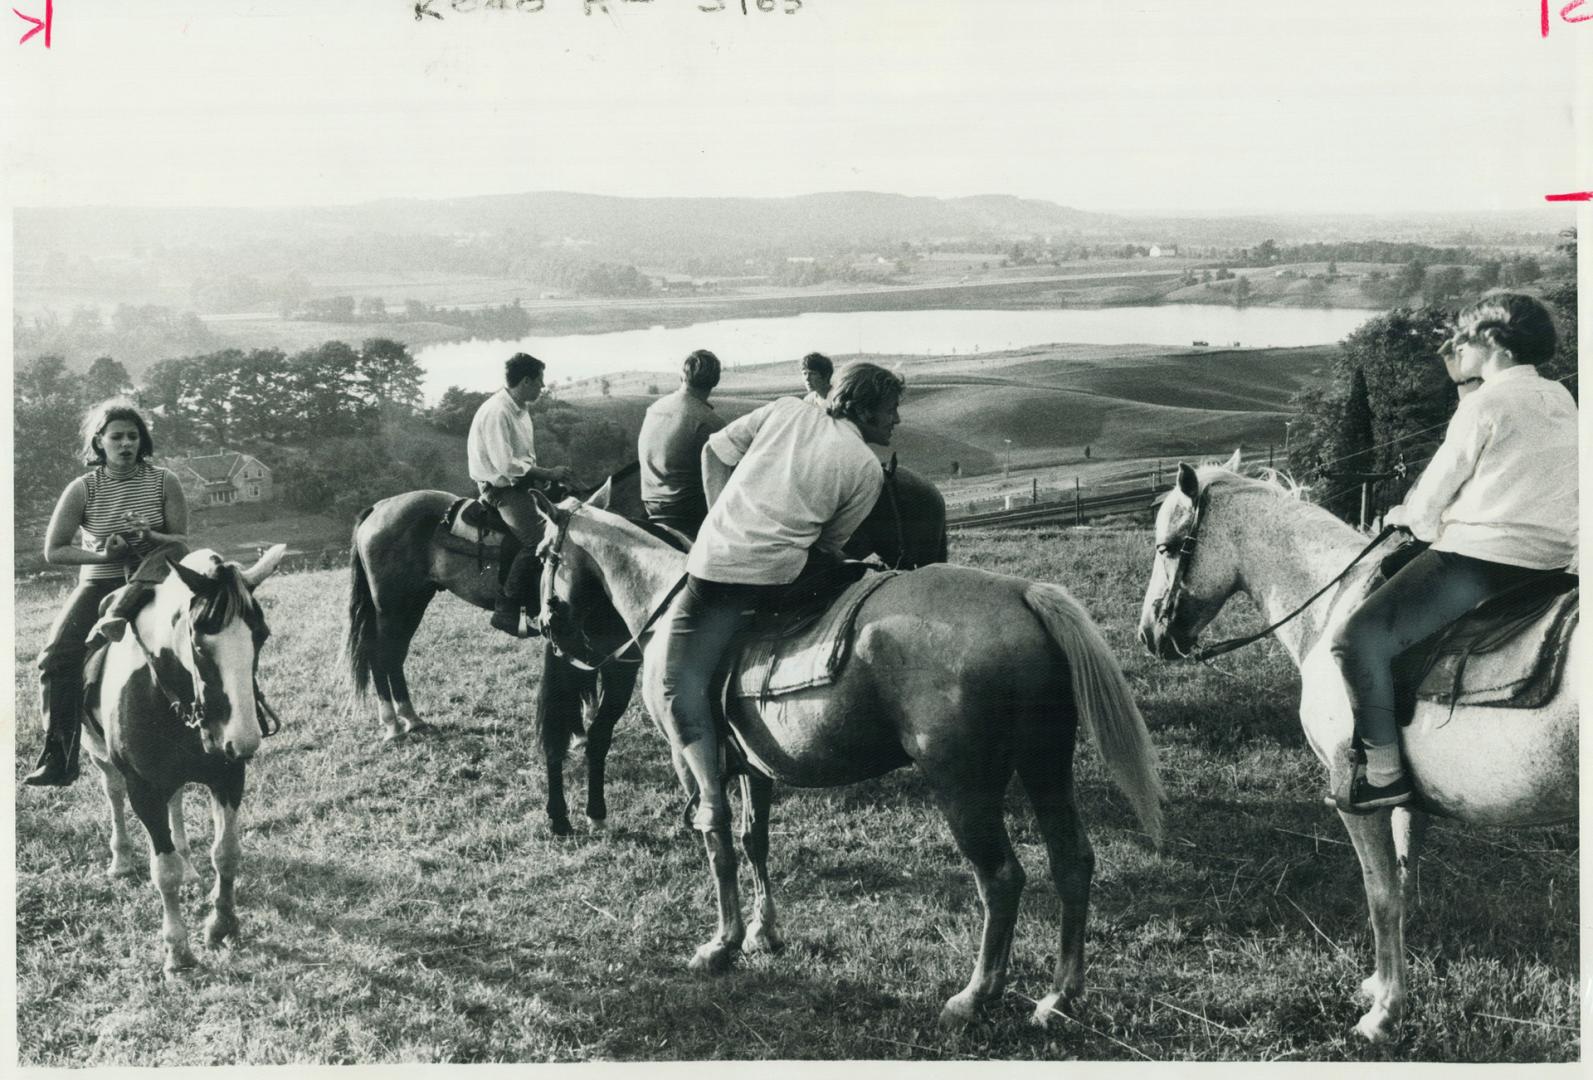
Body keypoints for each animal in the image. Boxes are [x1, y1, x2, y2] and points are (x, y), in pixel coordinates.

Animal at [80, 544, 288, 974]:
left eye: (260, 636)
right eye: (199, 644)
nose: (243, 740)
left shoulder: (229, 776)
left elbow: (226, 853)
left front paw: (222, 924)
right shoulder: (145, 791)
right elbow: (165, 872)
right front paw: (177, 951)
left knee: (176, 803)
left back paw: (190, 867)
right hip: (101, 759)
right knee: (113, 794)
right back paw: (121, 859)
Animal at [345, 458, 943, 834]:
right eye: (906, 506)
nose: (932, 558)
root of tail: (377, 508)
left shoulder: (611, 661)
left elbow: (592, 726)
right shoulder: (596, 660)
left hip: (413, 600)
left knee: (390, 657)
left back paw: (408, 717)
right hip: (397, 602)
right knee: (386, 654)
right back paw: (396, 720)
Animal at [528, 493, 1166, 1025]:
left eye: (541, 554)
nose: (545, 624)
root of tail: (1021, 595)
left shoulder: (695, 762)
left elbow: (718, 841)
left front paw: (722, 943)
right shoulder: (755, 770)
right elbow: (755, 841)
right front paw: (763, 932)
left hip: (964, 787)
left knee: (1001, 878)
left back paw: (974, 996)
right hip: (1045, 767)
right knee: (1072, 862)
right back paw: (1059, 996)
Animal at [1140, 458, 1573, 1051]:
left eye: (1166, 547)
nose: (1148, 635)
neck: (1329, 607)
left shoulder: (1356, 801)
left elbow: (1381, 896)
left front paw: (1384, 1014)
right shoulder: (1409, 803)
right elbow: (1405, 881)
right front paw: (1382, 983)